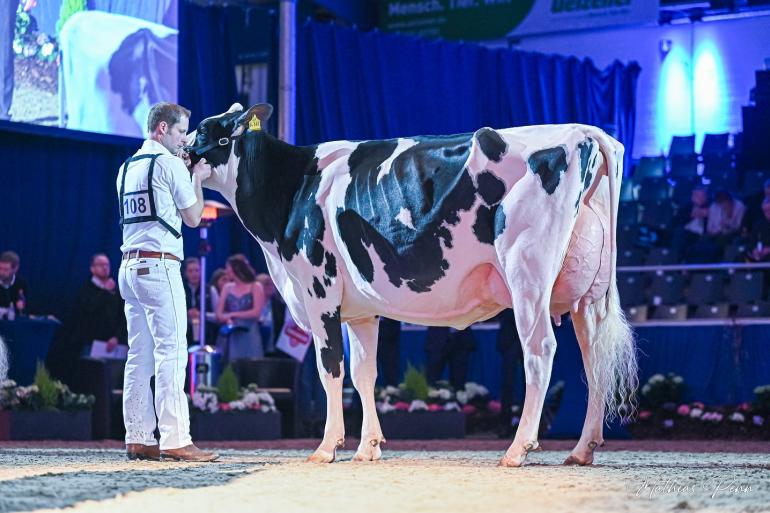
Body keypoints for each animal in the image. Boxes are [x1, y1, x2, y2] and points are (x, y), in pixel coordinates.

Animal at [184, 102, 636, 466]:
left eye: (206, 130)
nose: (183, 150)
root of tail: (583, 132)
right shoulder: (361, 311)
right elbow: (364, 373)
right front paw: (368, 447)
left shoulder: (319, 291)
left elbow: (331, 368)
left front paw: (328, 447)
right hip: (588, 295)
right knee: (594, 359)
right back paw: (582, 449)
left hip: (527, 273)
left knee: (539, 351)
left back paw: (517, 449)